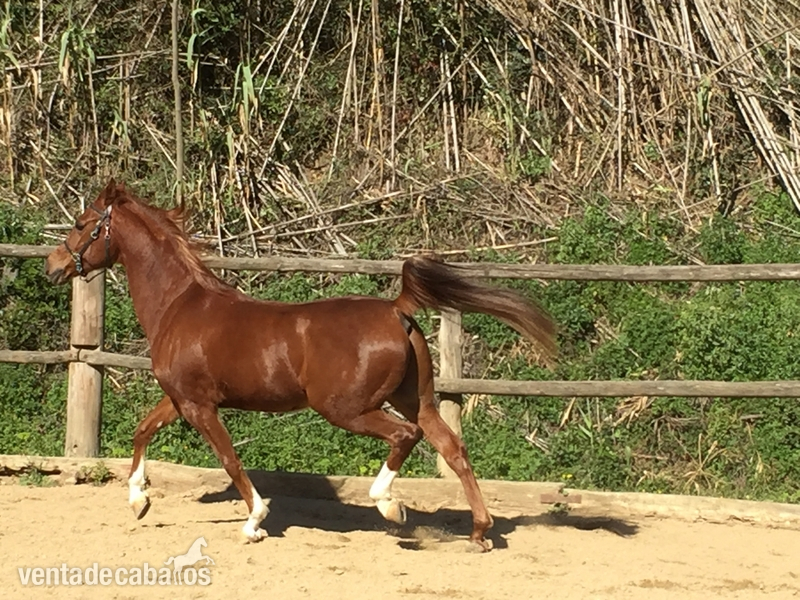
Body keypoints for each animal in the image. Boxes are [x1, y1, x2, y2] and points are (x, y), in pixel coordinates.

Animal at [45, 179, 557, 551]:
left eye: (81, 223)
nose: (53, 266)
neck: (179, 305)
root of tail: (396, 308)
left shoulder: (198, 406)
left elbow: (229, 459)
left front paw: (254, 522)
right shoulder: (180, 398)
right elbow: (142, 430)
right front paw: (138, 501)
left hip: (346, 408)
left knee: (404, 437)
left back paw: (389, 507)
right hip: (418, 399)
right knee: (453, 448)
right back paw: (479, 532)